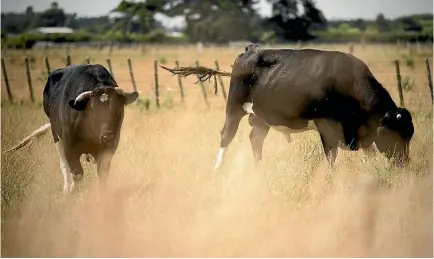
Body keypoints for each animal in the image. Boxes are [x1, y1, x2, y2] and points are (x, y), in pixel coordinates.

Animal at [161, 44, 416, 171]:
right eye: (393, 135)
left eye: (409, 135)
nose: (404, 164)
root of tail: (251, 50)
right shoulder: (326, 124)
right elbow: (331, 156)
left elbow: (369, 152)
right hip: (234, 106)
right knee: (227, 135)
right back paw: (217, 168)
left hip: (262, 116)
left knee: (255, 139)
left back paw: (259, 169)